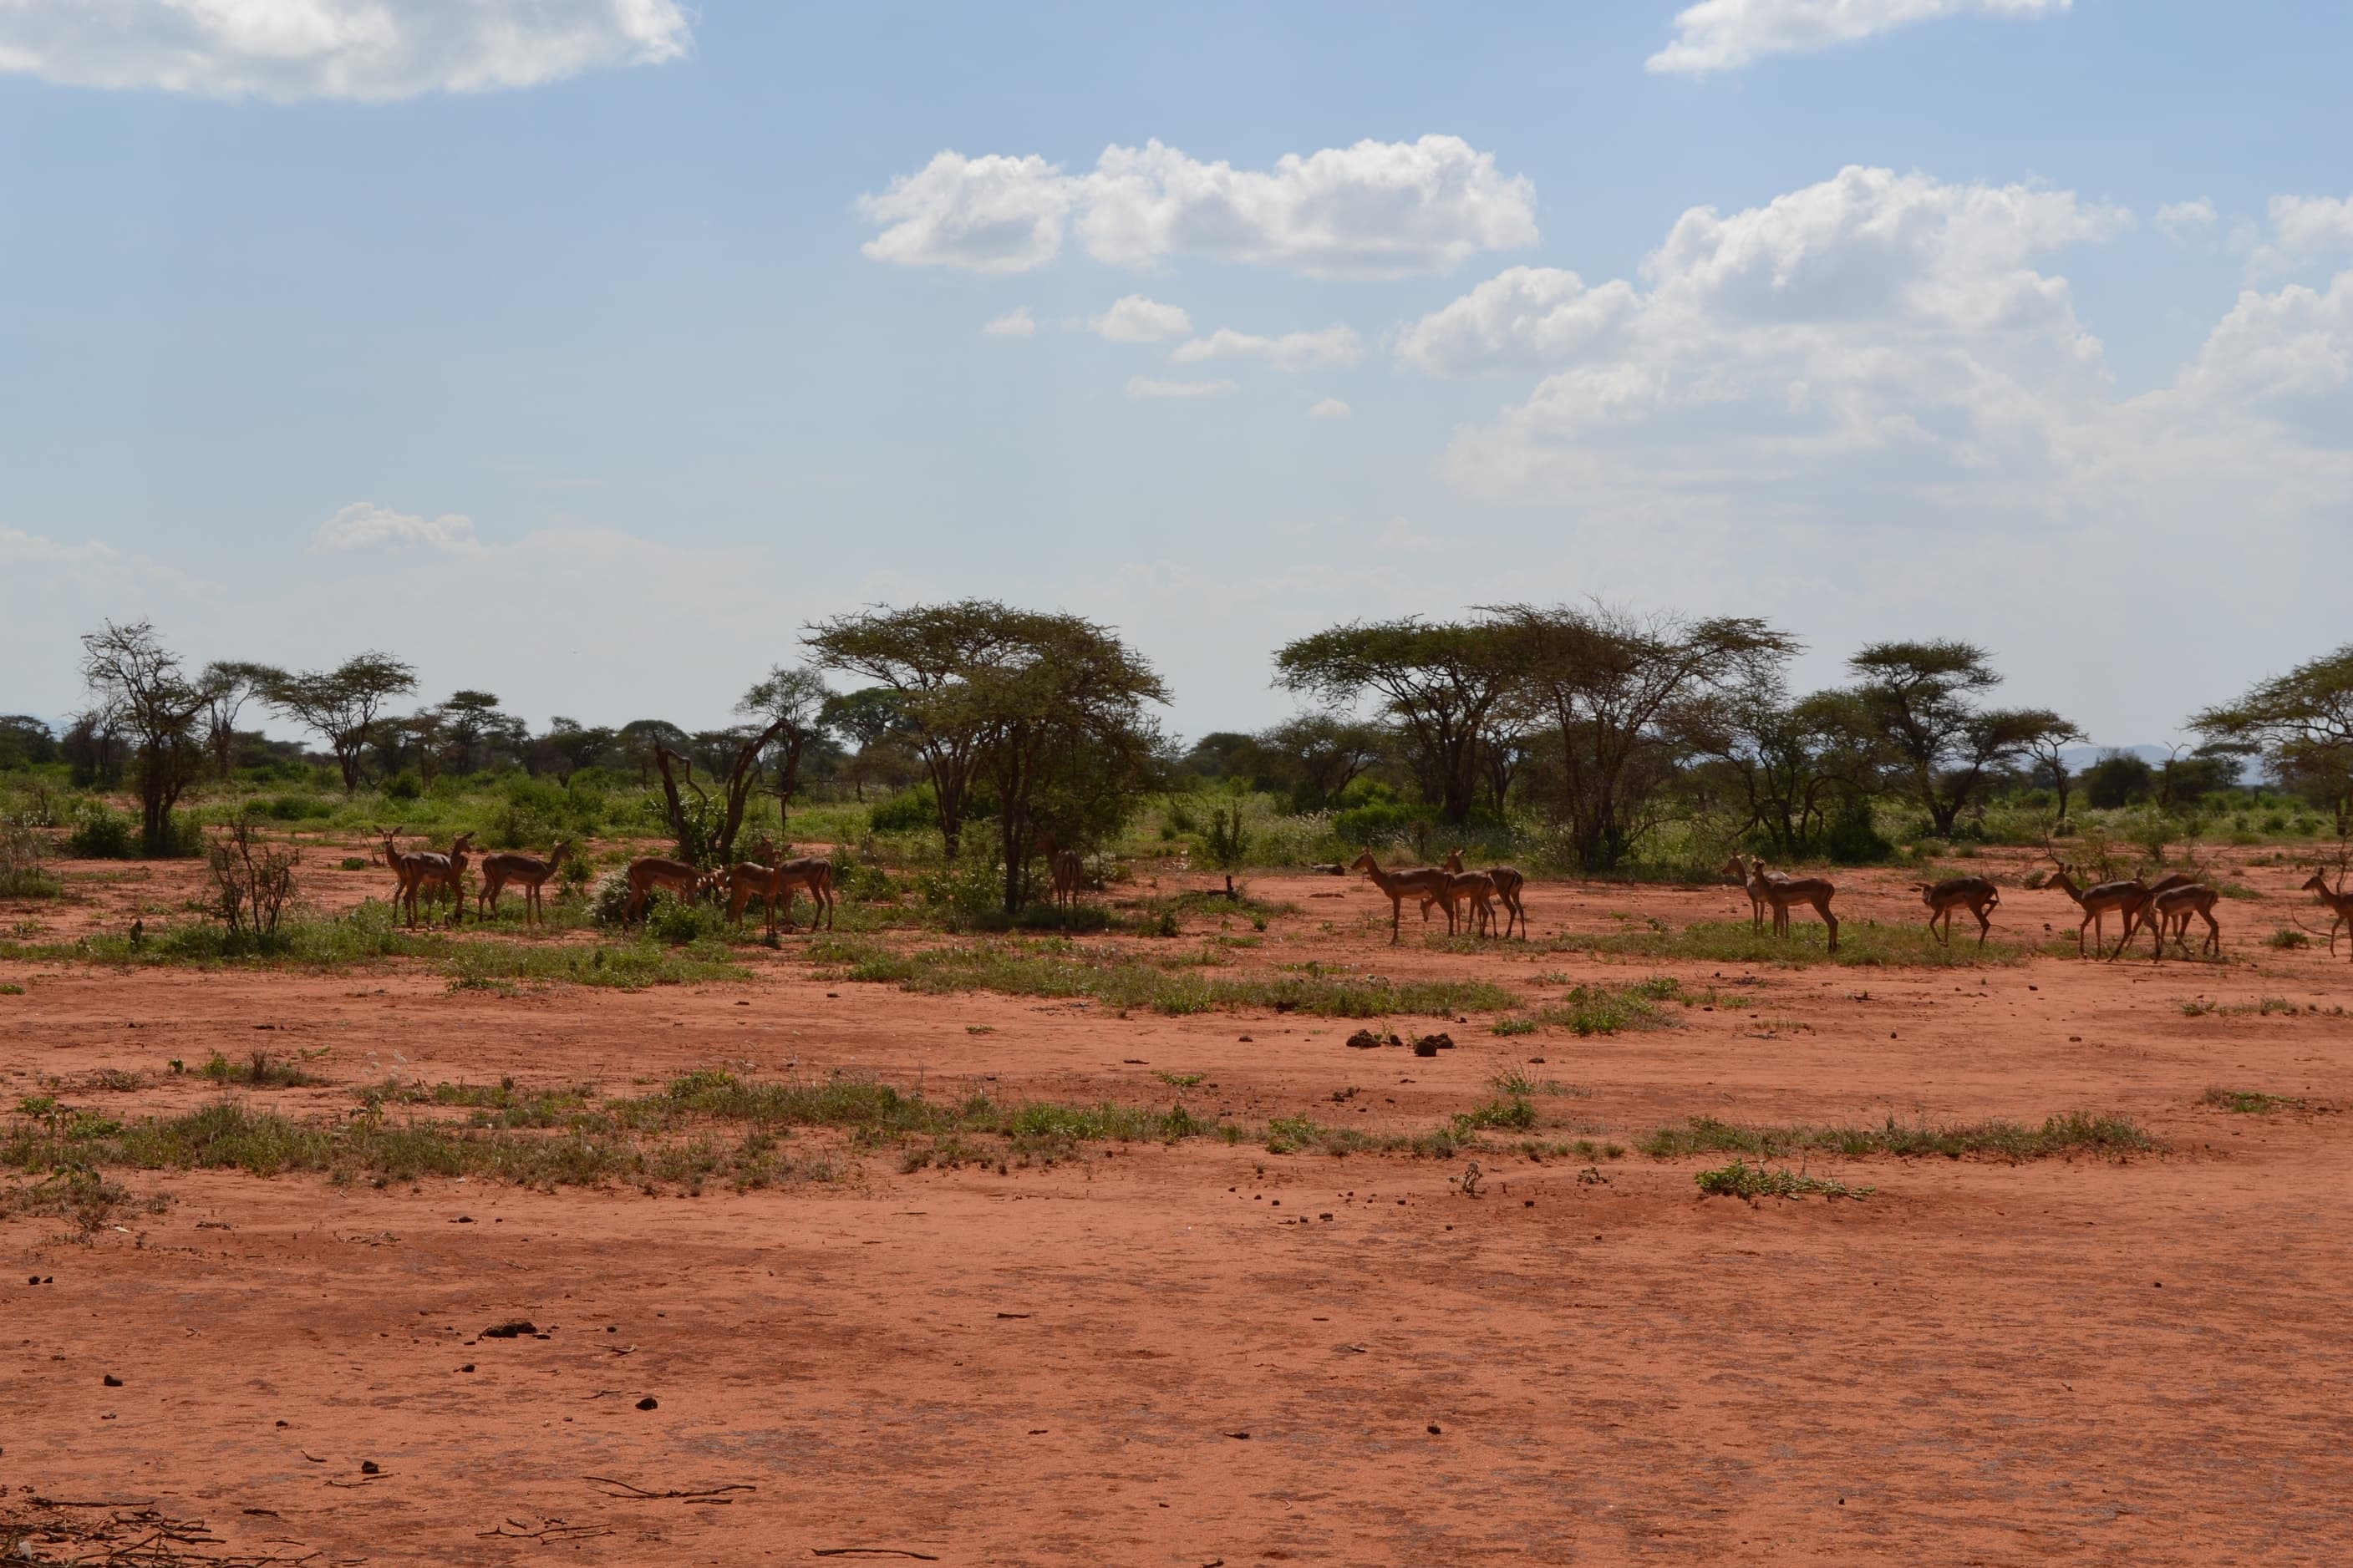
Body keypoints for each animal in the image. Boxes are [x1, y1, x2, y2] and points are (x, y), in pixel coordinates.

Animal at [2043, 869, 2152, 959]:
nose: (2045, 886)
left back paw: (2113, 957)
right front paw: (2097, 956)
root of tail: (2145, 891)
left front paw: (2084, 954)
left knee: (2129, 930)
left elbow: (2082, 926)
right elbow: (2098, 931)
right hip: (2139, 911)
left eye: (2055, 876)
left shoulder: (2090, 912)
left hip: (2127, 911)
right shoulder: (2098, 914)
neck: (2082, 895)